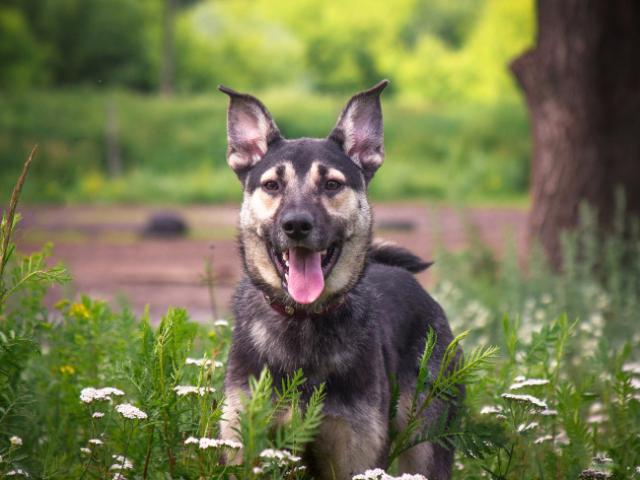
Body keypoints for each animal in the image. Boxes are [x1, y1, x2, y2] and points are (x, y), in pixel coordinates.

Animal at [220, 80, 460, 478]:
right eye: (272, 186)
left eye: (332, 185)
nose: (296, 225)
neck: (303, 321)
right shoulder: (244, 442)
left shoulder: (354, 454)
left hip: (425, 445)